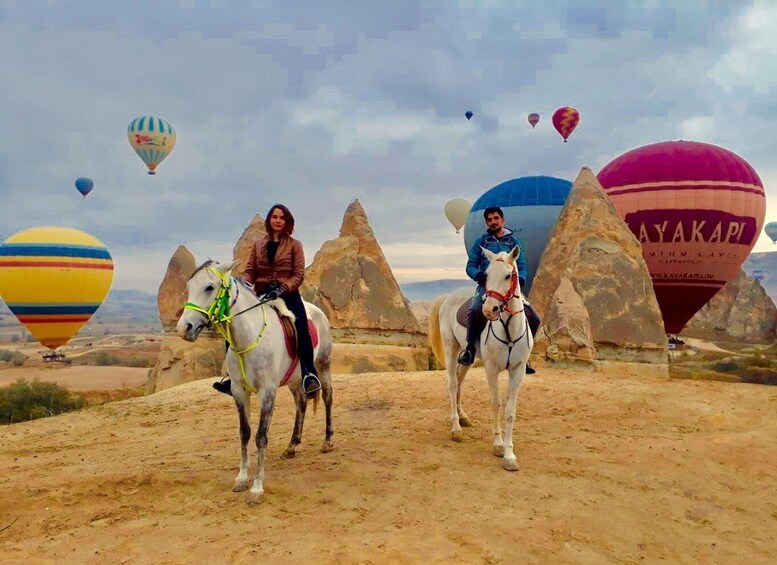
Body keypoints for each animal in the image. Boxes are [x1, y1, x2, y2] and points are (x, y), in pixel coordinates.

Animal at [176, 258, 334, 502]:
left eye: (210, 287)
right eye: (189, 287)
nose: (184, 328)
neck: (247, 338)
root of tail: (318, 311)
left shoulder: (267, 392)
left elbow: (261, 436)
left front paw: (257, 487)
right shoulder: (240, 391)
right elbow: (245, 432)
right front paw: (242, 478)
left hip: (323, 366)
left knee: (327, 397)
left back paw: (327, 441)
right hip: (294, 379)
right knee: (301, 403)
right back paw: (292, 445)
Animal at [428, 247, 532, 472]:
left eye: (508, 275)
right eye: (486, 275)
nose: (489, 310)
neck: (509, 329)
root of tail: (449, 296)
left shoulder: (518, 370)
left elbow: (510, 411)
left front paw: (510, 455)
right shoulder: (491, 369)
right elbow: (496, 403)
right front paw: (498, 445)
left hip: (467, 357)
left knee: (459, 381)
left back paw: (463, 417)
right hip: (451, 349)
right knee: (452, 384)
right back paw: (456, 427)